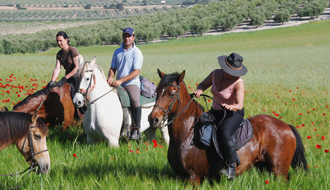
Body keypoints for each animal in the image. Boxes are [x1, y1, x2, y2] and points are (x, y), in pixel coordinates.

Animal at [148, 69, 308, 184]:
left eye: (172, 94)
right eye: (157, 92)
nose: (153, 119)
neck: (188, 133)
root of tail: (286, 126)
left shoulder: (193, 177)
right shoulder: (180, 177)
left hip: (279, 171)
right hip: (264, 168)